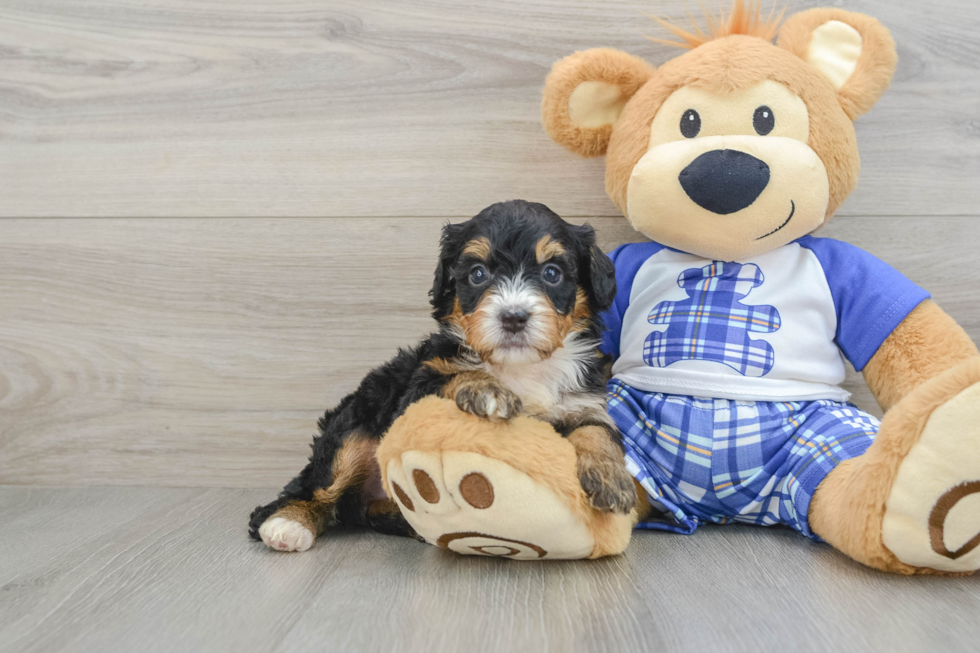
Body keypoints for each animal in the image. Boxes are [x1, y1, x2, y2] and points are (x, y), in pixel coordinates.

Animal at [249, 199, 640, 552]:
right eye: (478, 273)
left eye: (552, 273)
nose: (513, 317)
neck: (520, 367)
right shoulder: (419, 385)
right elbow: (455, 376)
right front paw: (487, 390)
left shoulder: (585, 400)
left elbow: (597, 431)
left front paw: (612, 479)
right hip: (353, 426)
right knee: (320, 486)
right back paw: (288, 524)